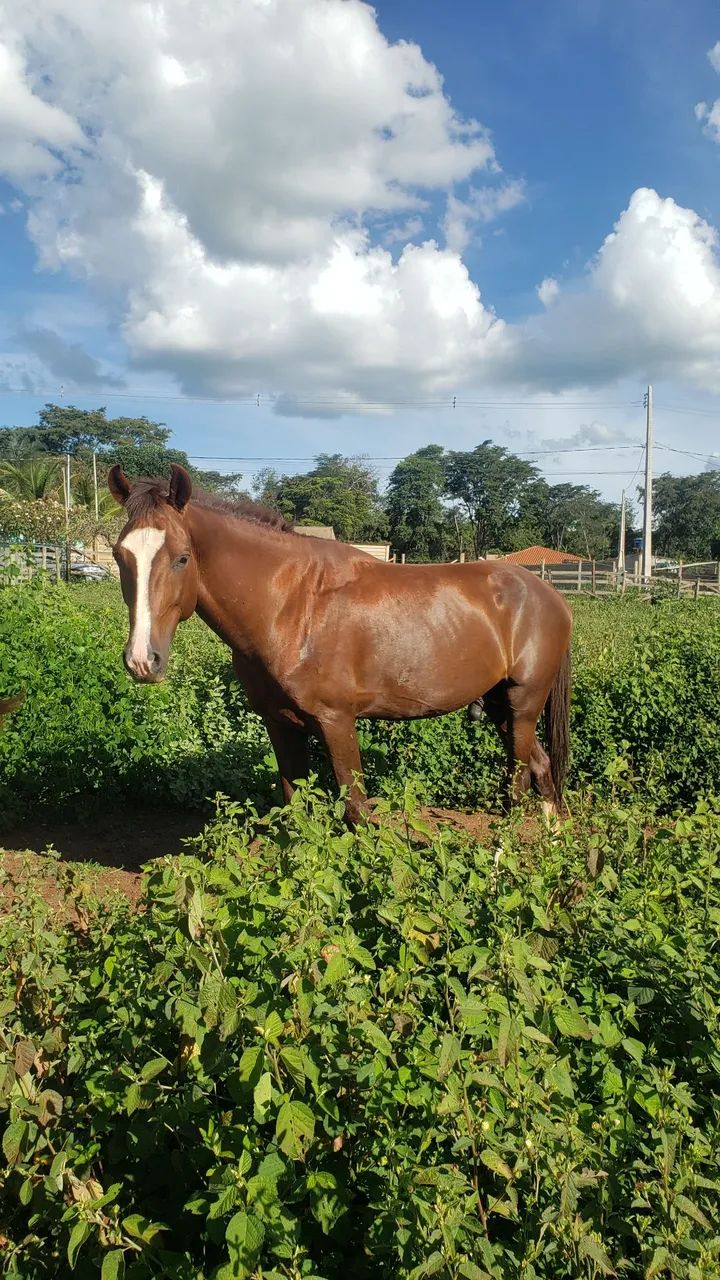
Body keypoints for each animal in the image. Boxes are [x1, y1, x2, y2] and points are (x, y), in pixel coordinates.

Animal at [108, 464, 572, 827]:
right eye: (119, 556)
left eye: (182, 557)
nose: (142, 660)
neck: (292, 606)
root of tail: (550, 594)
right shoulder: (281, 724)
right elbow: (293, 807)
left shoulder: (336, 722)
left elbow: (356, 812)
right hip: (500, 706)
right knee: (542, 768)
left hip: (523, 705)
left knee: (517, 785)